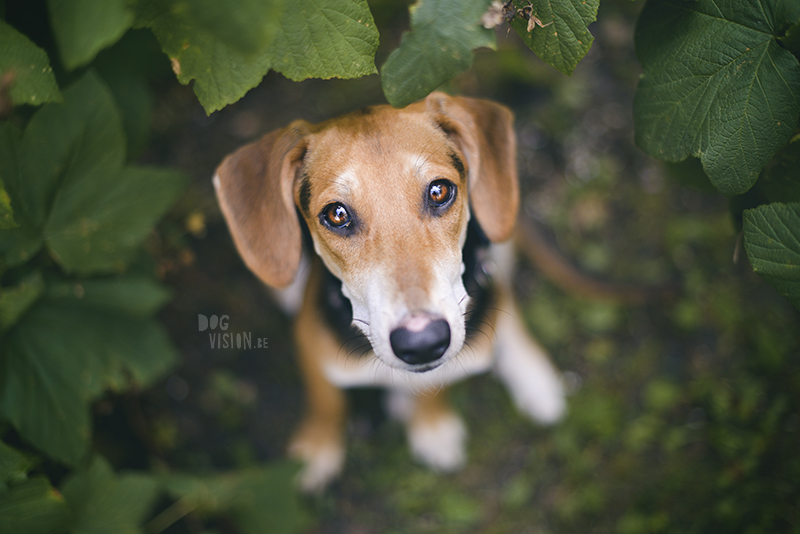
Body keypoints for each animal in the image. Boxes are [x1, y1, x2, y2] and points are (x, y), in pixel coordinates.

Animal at [211, 92, 564, 494]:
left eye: (439, 191)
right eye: (336, 214)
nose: (423, 342)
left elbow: (436, 385)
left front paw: (431, 427)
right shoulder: (310, 344)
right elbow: (326, 402)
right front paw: (315, 450)